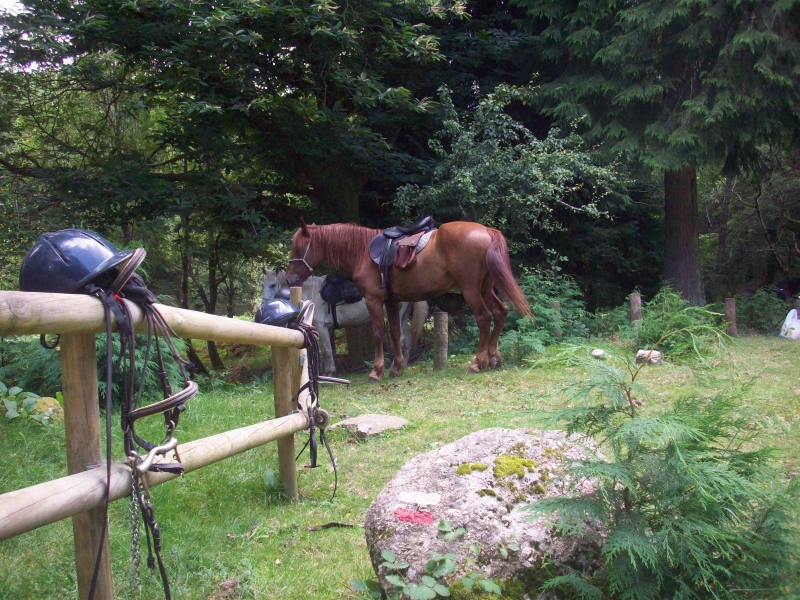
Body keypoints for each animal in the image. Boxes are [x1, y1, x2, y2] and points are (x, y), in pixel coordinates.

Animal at [262, 268, 428, 376]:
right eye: (263, 284)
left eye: (273, 285)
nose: (264, 304)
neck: (313, 292)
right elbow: (324, 350)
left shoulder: (322, 327)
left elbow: (327, 351)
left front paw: (330, 373)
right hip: (403, 317)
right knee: (408, 339)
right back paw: (404, 363)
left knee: (401, 339)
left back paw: (394, 367)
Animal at [286, 223, 532, 382]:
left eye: (299, 248)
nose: (289, 279)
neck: (363, 252)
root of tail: (487, 231)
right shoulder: (392, 302)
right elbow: (396, 334)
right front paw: (397, 368)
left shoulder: (374, 301)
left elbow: (378, 334)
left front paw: (377, 371)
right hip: (485, 287)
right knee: (500, 312)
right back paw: (494, 358)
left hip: (470, 288)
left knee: (484, 317)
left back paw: (477, 363)